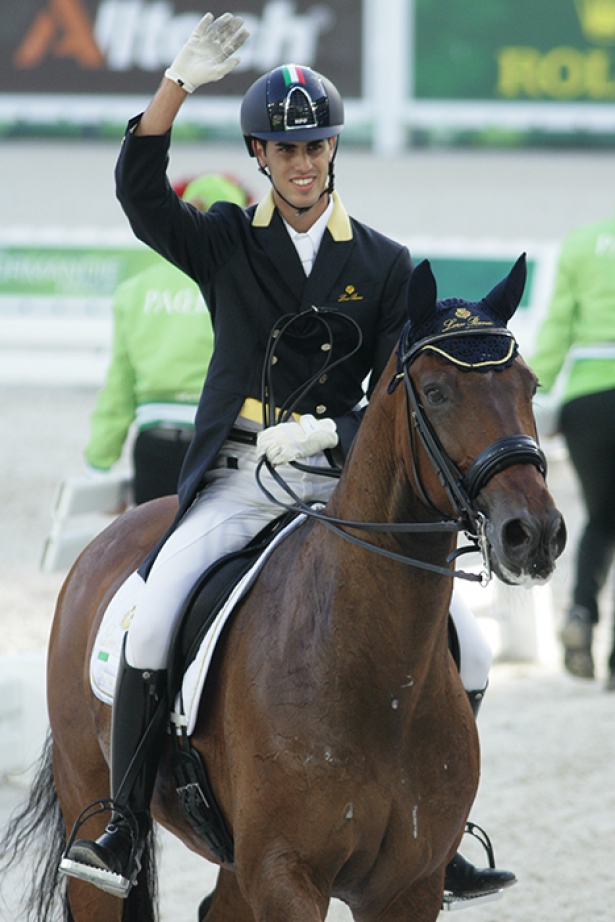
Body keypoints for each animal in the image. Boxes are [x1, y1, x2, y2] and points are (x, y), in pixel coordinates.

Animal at [1, 255, 568, 920]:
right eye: (436, 392)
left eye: (530, 386)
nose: (533, 533)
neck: (374, 673)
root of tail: (110, 536)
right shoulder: (283, 873)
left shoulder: (409, 886)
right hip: (87, 801)